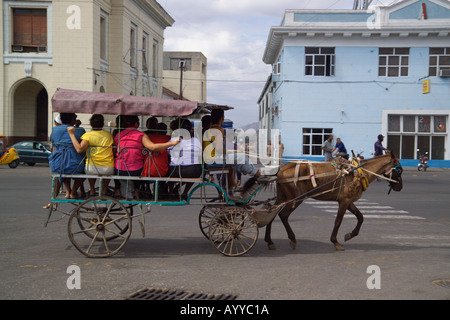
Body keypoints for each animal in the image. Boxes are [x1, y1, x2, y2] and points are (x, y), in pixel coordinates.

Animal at [264, 153, 404, 252]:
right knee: (283, 215)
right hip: (296, 198)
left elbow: (360, 217)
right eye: (399, 170)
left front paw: (350, 235)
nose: (400, 187)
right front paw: (335, 242)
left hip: (282, 196)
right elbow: (338, 221)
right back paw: (292, 239)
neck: (357, 172)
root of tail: (281, 168)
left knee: (271, 213)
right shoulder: (344, 201)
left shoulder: (349, 201)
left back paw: (269, 241)